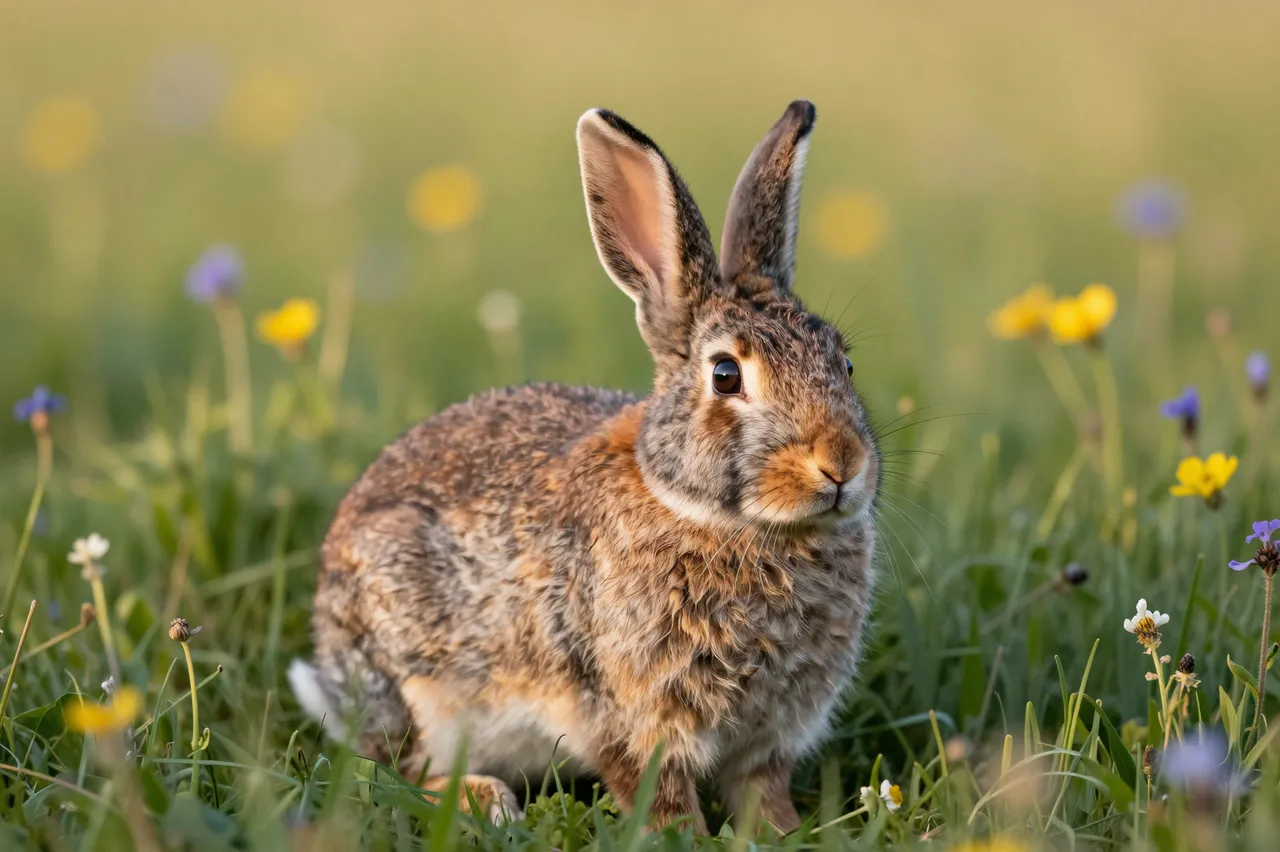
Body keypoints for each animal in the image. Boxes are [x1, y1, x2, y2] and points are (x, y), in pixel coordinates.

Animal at [288, 99, 880, 833]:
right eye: (725, 375)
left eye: (845, 363)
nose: (841, 465)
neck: (730, 524)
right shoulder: (627, 711)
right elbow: (656, 791)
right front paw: (680, 838)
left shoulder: (770, 735)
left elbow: (762, 794)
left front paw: (786, 834)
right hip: (415, 681)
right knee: (401, 770)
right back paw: (487, 800)